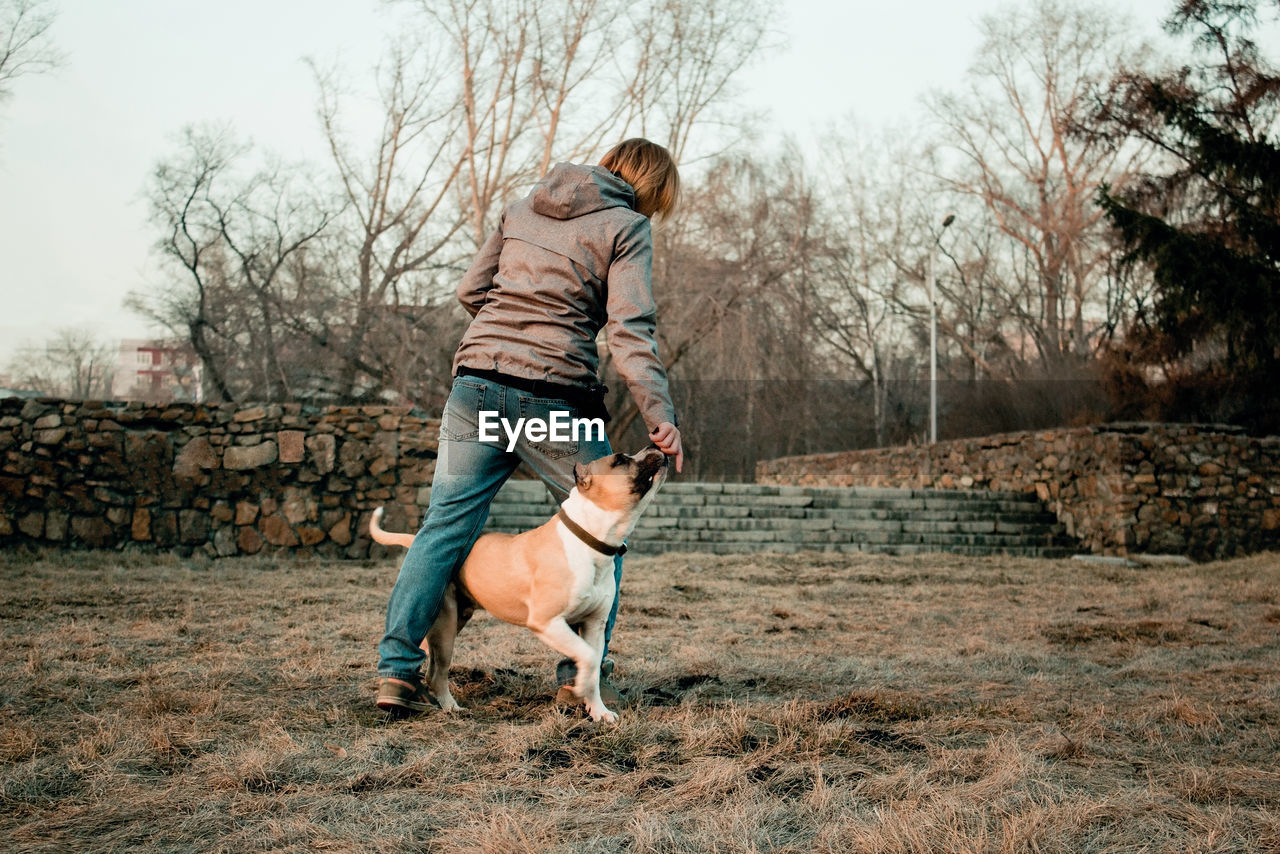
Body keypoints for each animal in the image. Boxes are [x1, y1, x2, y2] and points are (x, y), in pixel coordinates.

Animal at [368, 448, 670, 722]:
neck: (587, 539)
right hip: (446, 627)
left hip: (453, 620)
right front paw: (582, 685)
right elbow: (588, 658)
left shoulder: (594, 624)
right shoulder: (548, 622)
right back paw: (450, 707)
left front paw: (599, 711)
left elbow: (595, 663)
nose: (656, 447)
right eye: (619, 459)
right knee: (438, 673)